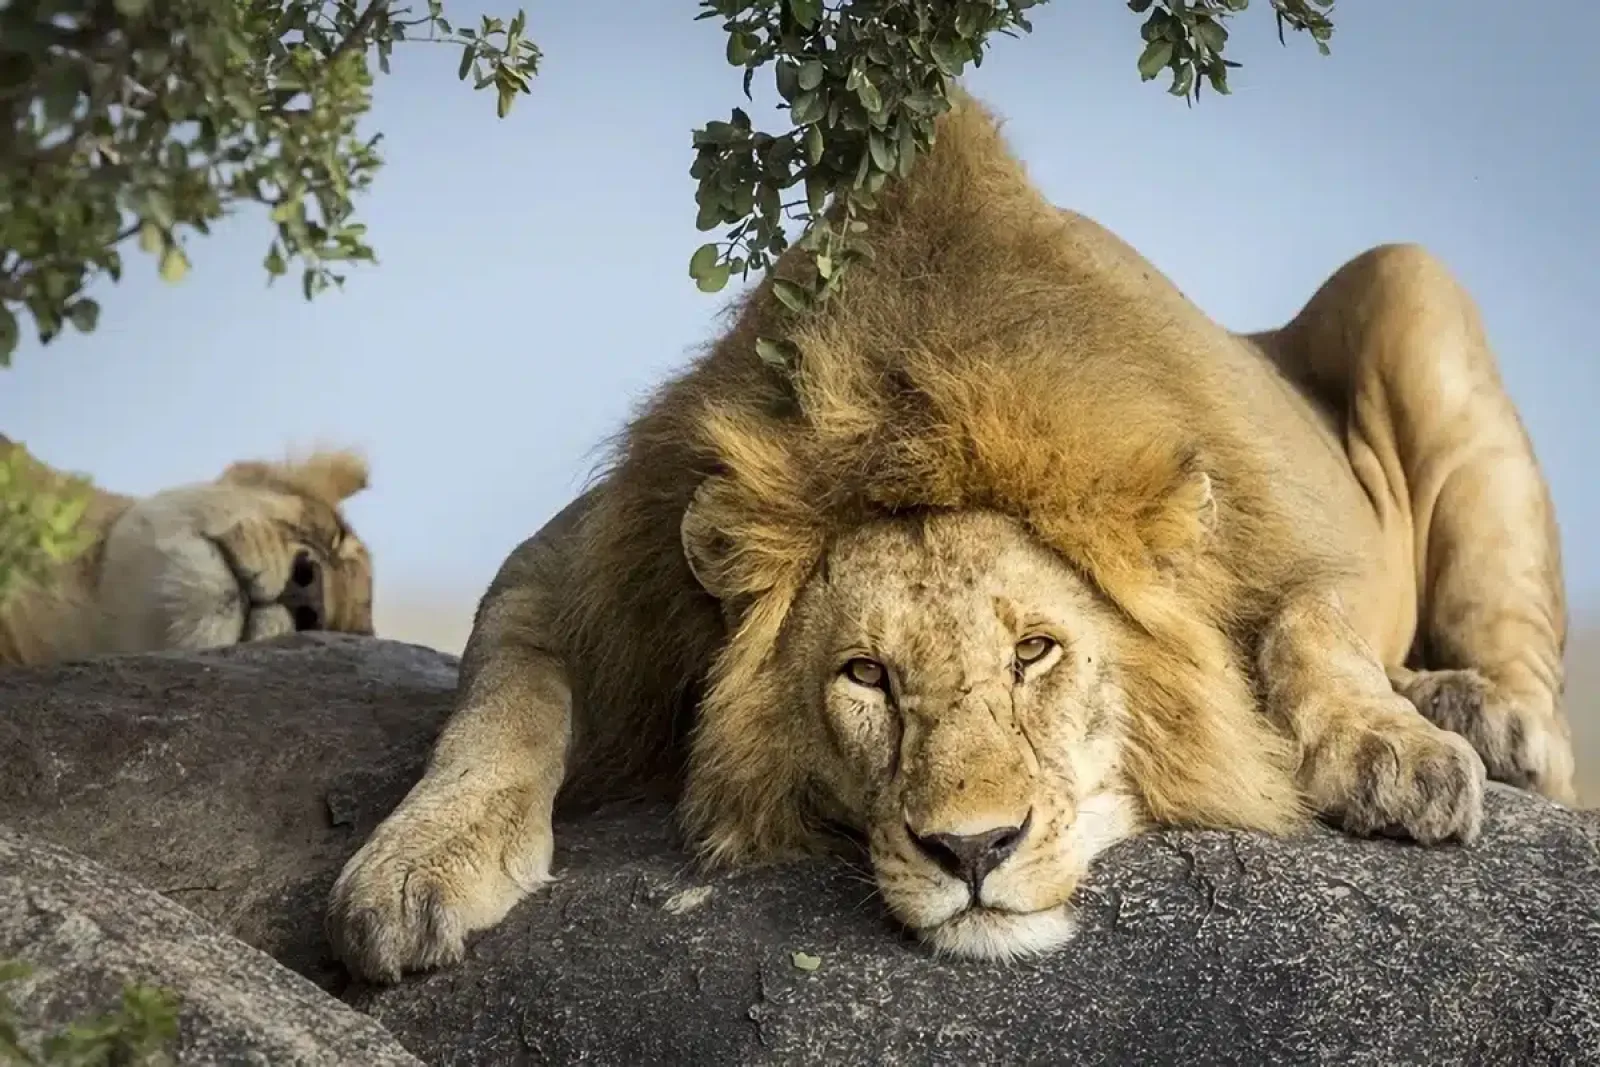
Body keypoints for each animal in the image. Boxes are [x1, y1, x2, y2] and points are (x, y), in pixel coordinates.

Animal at [327, 88, 1574, 981]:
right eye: (865, 675)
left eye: (1035, 651)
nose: (972, 852)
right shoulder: (575, 567)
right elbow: (502, 704)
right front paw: (410, 867)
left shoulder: (1280, 527)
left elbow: (1311, 621)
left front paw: (1390, 751)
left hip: (1410, 281)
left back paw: (1480, 716)